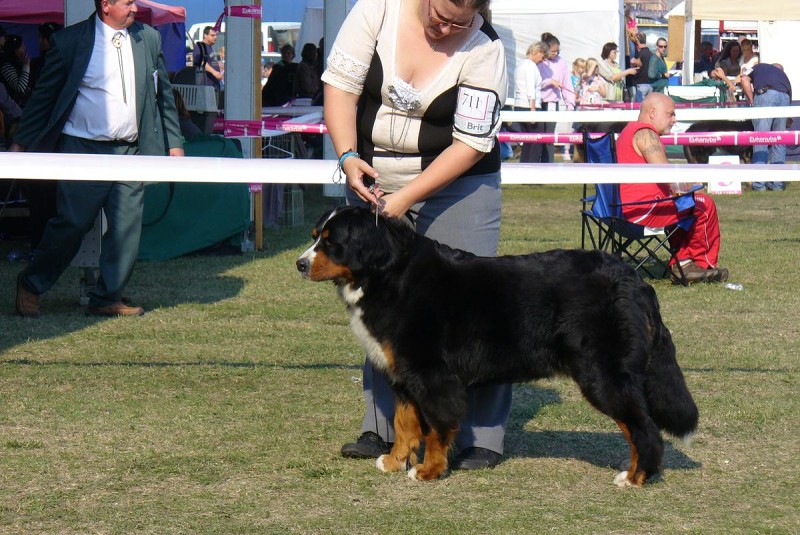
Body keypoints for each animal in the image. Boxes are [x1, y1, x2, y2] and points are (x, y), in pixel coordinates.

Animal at [296, 206, 696, 490]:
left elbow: (436, 427)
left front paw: (429, 471)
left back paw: (636, 477)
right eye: (315, 237)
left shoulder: (431, 376)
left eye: (331, 242)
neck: (388, 274)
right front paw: (394, 462)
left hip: (603, 373)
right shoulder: (404, 375)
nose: (299, 264)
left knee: (643, 427)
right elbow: (405, 424)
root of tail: (632, 278)